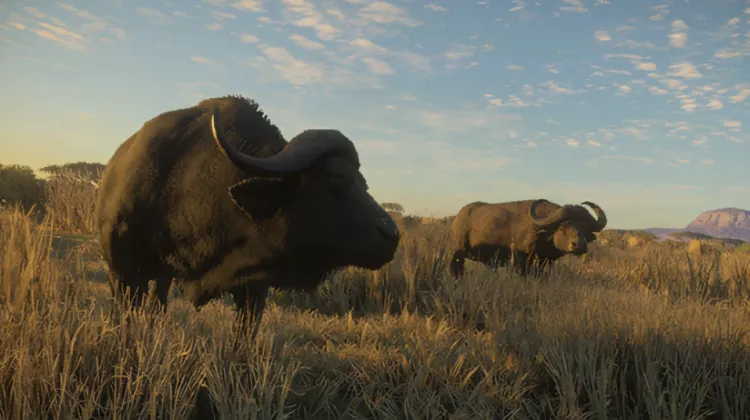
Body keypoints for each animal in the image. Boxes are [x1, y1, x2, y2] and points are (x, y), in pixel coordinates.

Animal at [449, 199, 607, 278]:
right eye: (563, 228)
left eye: (584, 228)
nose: (578, 245)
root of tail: (458, 218)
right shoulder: (520, 261)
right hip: (458, 253)